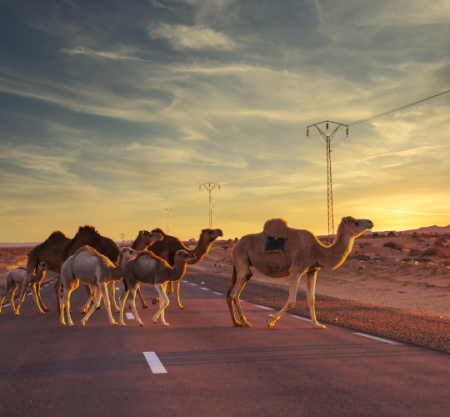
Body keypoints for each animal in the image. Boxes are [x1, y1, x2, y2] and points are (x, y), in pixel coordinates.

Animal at [227, 214, 374, 328]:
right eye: (356, 222)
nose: (370, 222)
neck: (317, 251)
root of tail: (235, 246)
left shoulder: (312, 270)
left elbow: (311, 299)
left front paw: (317, 325)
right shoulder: (296, 269)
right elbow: (292, 300)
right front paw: (270, 320)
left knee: (231, 293)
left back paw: (236, 322)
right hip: (241, 257)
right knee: (236, 291)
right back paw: (244, 322)